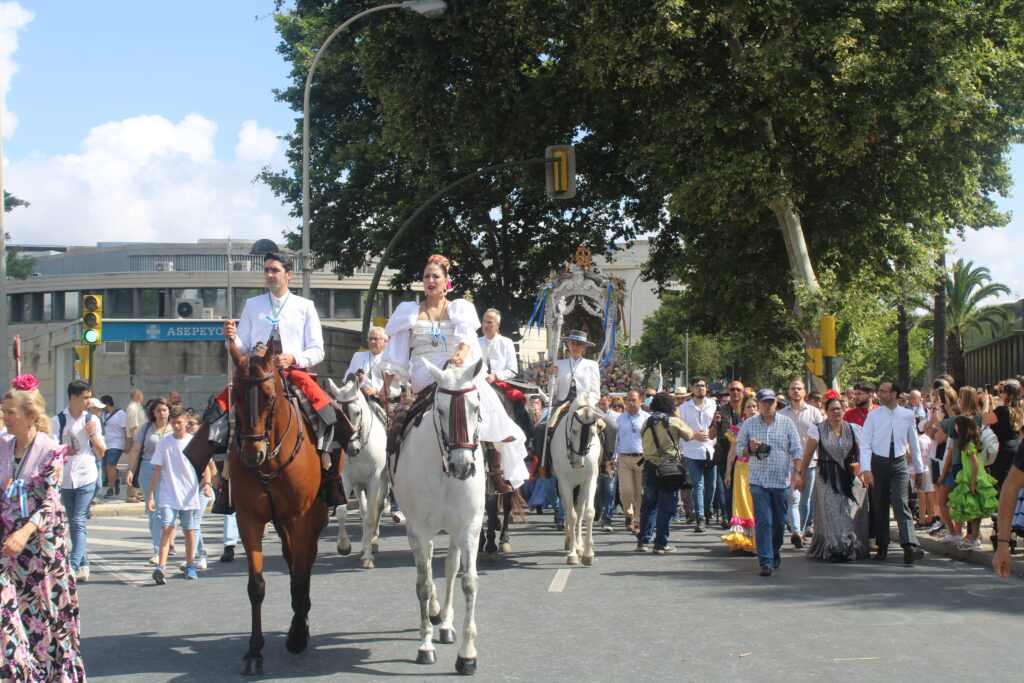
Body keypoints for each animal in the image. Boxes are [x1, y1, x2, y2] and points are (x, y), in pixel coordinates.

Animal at [229, 344, 325, 675]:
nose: (252, 454)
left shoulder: (302, 519)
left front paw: (296, 635)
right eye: (236, 396)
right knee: (292, 558)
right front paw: (253, 651)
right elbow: (256, 585)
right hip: (281, 523)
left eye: (270, 396)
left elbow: (299, 576)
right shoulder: (249, 519)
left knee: (304, 563)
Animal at [329, 376, 389, 569]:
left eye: (356, 412)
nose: (350, 447)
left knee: (378, 507)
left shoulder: (374, 479)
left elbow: (370, 516)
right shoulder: (346, 479)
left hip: (384, 480)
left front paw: (368, 556)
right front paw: (344, 546)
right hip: (358, 485)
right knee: (363, 510)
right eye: (337, 414)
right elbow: (341, 511)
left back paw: (373, 541)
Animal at [393, 358, 485, 671]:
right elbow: (423, 584)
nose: (462, 465)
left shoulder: (469, 528)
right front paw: (425, 645)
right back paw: (434, 615)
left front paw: (467, 654)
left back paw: (445, 623)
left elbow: (468, 582)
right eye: (441, 409)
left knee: (449, 566)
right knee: (430, 566)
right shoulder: (418, 529)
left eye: (476, 406)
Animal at [548, 389, 602, 565]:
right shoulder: (565, 482)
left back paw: (579, 545)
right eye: (574, 430)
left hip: (581, 485)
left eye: (593, 432)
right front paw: (572, 554)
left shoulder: (590, 480)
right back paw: (569, 542)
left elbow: (588, 512)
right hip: (564, 484)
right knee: (568, 508)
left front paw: (587, 553)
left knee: (579, 510)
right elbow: (570, 515)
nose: (578, 464)